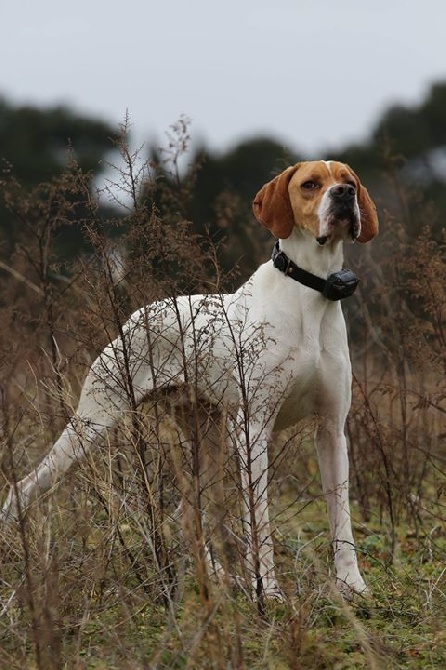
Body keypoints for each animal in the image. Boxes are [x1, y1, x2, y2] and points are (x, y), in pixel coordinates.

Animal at [1, 161, 378, 600]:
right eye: (310, 184)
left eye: (348, 182)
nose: (343, 196)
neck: (309, 292)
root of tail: (138, 314)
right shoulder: (252, 428)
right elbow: (259, 523)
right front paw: (267, 593)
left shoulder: (331, 429)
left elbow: (342, 517)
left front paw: (353, 586)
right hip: (91, 424)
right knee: (23, 487)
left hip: (207, 439)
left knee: (185, 511)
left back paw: (214, 577)